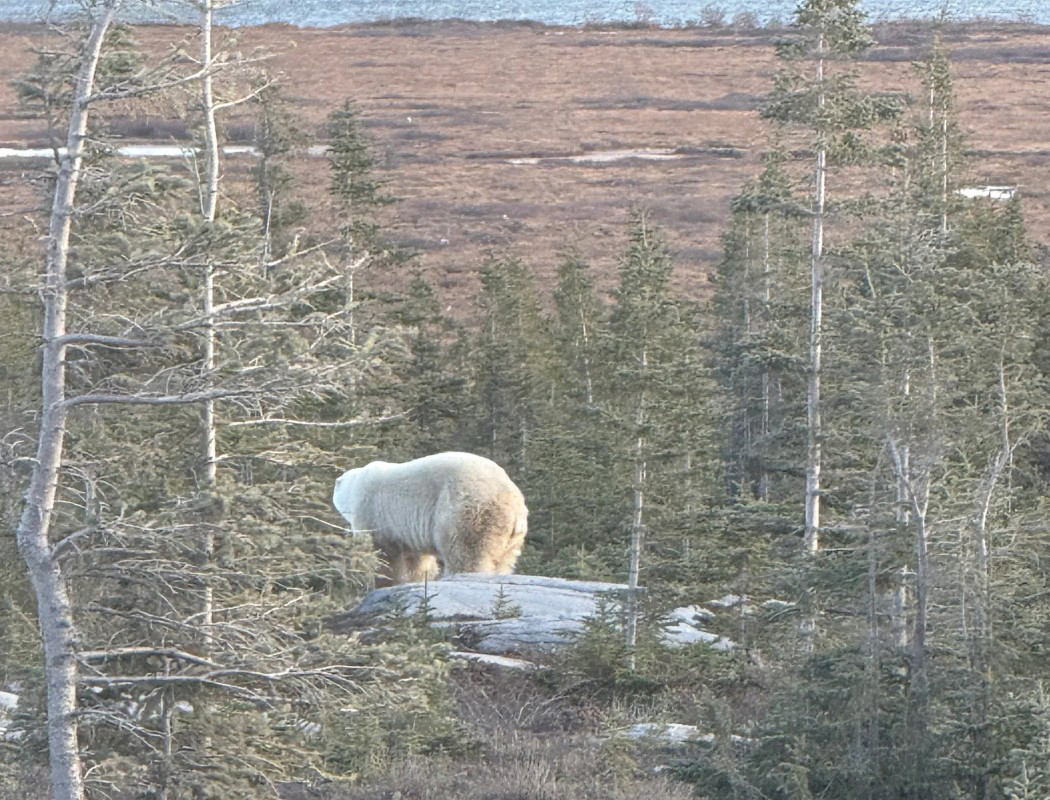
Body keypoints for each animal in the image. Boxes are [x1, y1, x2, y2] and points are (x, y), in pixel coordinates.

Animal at [332, 452, 528, 586]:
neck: (355, 484)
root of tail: (512, 501)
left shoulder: (371, 511)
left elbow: (382, 554)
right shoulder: (408, 532)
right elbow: (415, 560)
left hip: (465, 510)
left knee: (465, 551)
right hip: (509, 533)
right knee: (503, 559)